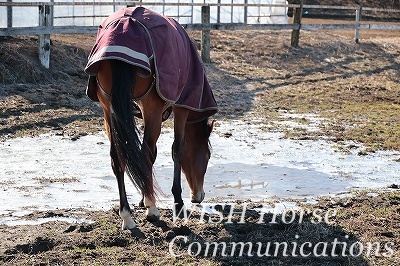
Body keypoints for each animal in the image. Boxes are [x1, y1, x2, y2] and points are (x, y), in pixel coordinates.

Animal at [82, 7, 217, 230]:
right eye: (207, 156)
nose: (199, 195)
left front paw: (143, 198)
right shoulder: (181, 108)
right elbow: (177, 149)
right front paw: (176, 202)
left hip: (108, 108)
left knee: (118, 158)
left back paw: (127, 215)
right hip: (150, 107)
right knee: (145, 153)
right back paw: (152, 210)